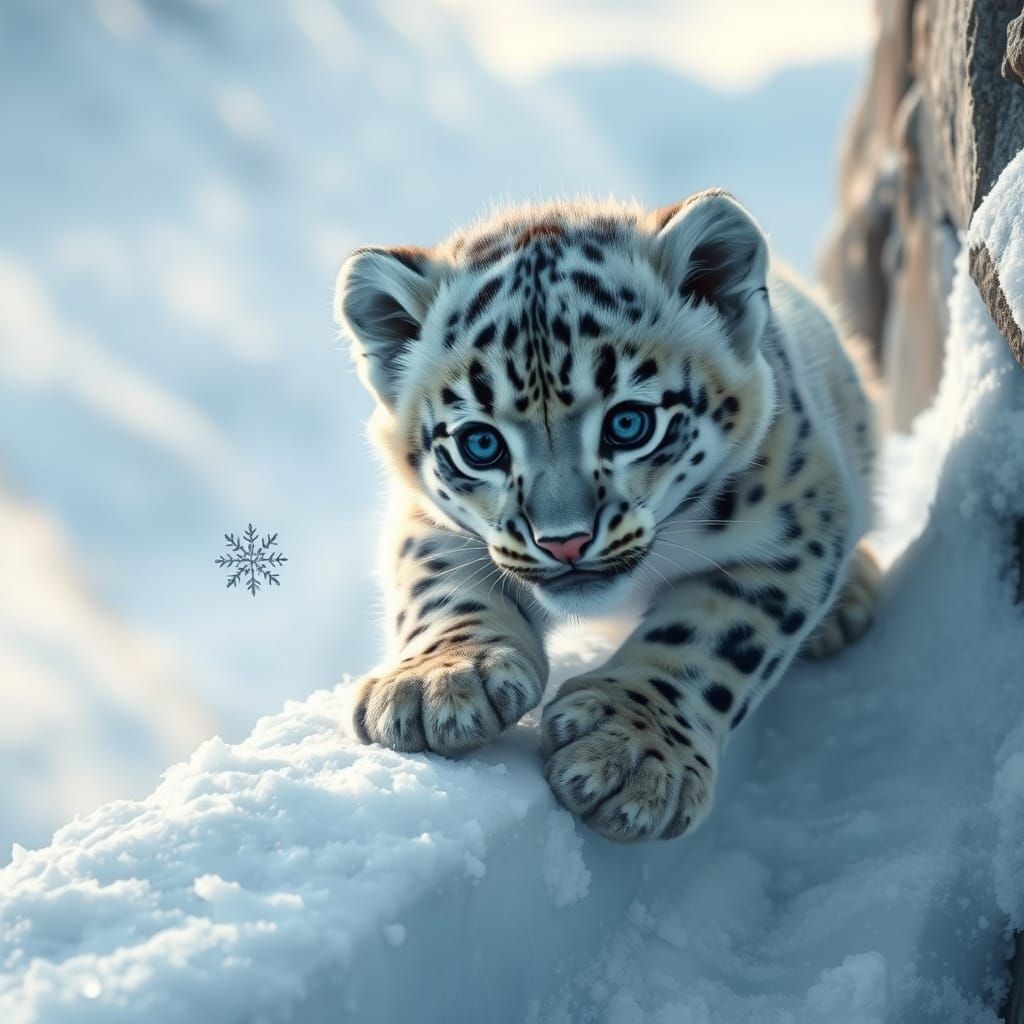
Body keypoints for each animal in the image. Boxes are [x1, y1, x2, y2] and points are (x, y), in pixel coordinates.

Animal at [335, 189, 878, 842]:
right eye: (480, 443)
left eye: (628, 423)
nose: (564, 541)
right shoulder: (425, 519)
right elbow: (439, 587)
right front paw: (438, 683)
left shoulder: (797, 524)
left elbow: (715, 641)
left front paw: (631, 754)